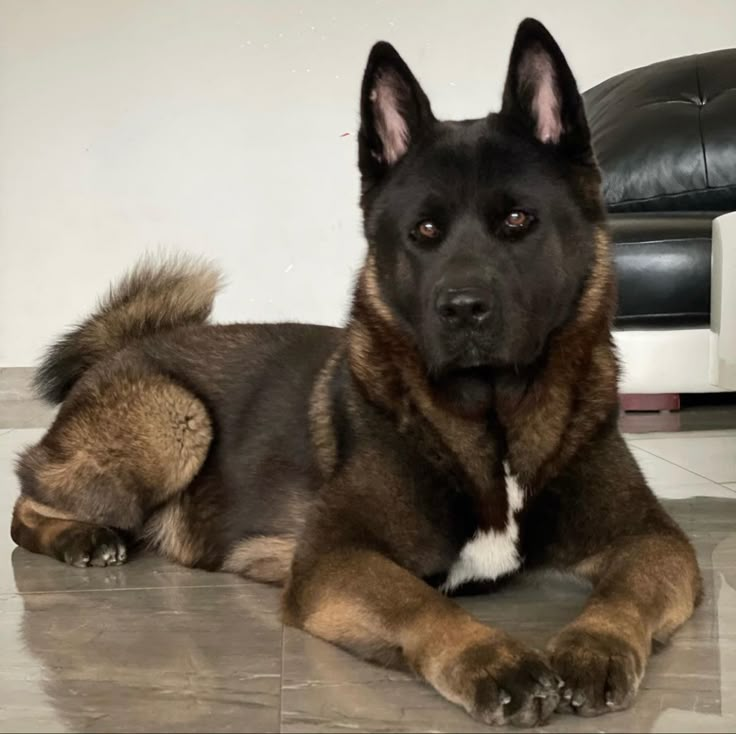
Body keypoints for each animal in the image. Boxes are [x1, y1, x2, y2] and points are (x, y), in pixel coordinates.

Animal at [11, 18, 700, 732]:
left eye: (518, 220)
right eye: (424, 230)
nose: (462, 309)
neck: (491, 421)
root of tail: (129, 345)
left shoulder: (652, 541)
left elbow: (626, 594)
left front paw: (596, 645)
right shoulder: (336, 558)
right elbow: (422, 603)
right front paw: (490, 659)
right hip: (176, 419)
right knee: (26, 502)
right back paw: (83, 536)